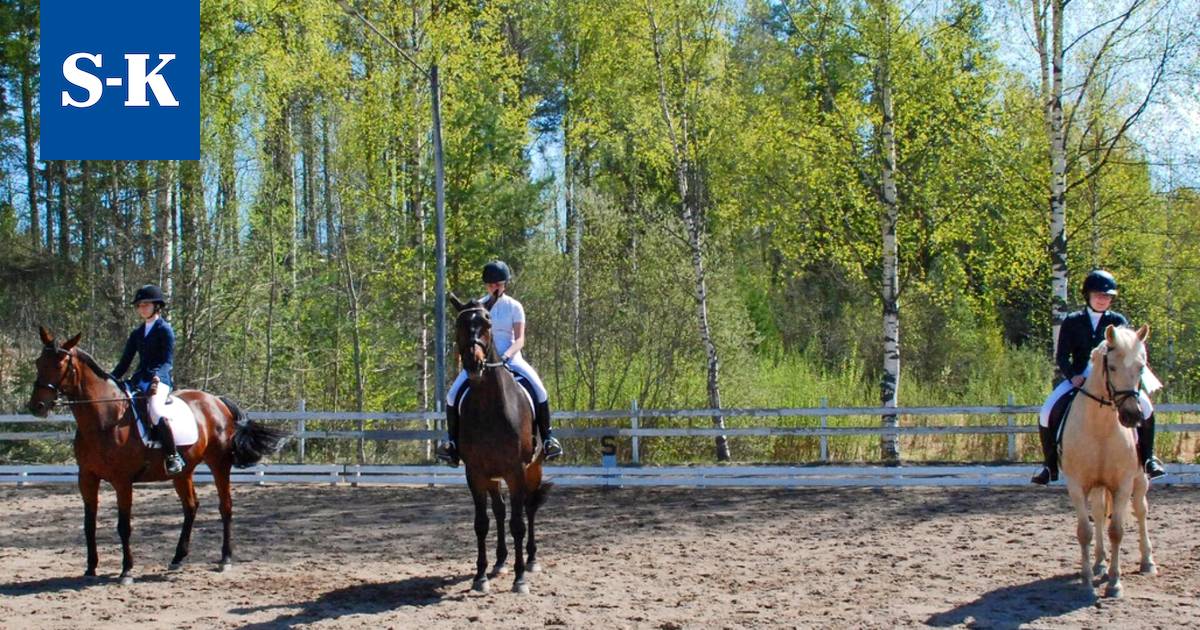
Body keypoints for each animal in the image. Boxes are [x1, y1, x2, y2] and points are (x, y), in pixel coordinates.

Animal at [25, 326, 288, 583]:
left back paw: (225, 559)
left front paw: (127, 571)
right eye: (38, 362)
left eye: (59, 364)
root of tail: (216, 400)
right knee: (191, 506)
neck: (105, 419)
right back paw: (178, 558)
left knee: (226, 507)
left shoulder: (122, 480)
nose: (37, 407)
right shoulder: (87, 477)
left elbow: (124, 525)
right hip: (183, 472)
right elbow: (89, 524)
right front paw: (90, 568)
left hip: (219, 464)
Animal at [451, 292, 552, 592]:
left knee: (528, 506)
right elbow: (481, 522)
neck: (489, 407)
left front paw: (519, 579)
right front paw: (480, 576)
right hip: (492, 476)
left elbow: (517, 523)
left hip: (533, 467)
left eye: (487, 324)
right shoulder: (475, 472)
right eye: (459, 325)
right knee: (498, 510)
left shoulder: (516, 470)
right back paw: (499, 562)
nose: (473, 364)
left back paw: (531, 560)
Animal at [1065, 326, 1156, 597]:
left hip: (1140, 479)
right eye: (1112, 367)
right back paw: (1099, 563)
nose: (1132, 416)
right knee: (1097, 513)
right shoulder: (1076, 485)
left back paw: (1147, 562)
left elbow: (1117, 530)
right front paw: (1086, 582)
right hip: (1097, 486)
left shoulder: (1123, 484)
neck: (1101, 428)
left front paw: (1115, 583)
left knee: (1141, 510)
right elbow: (1084, 531)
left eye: (1141, 367)